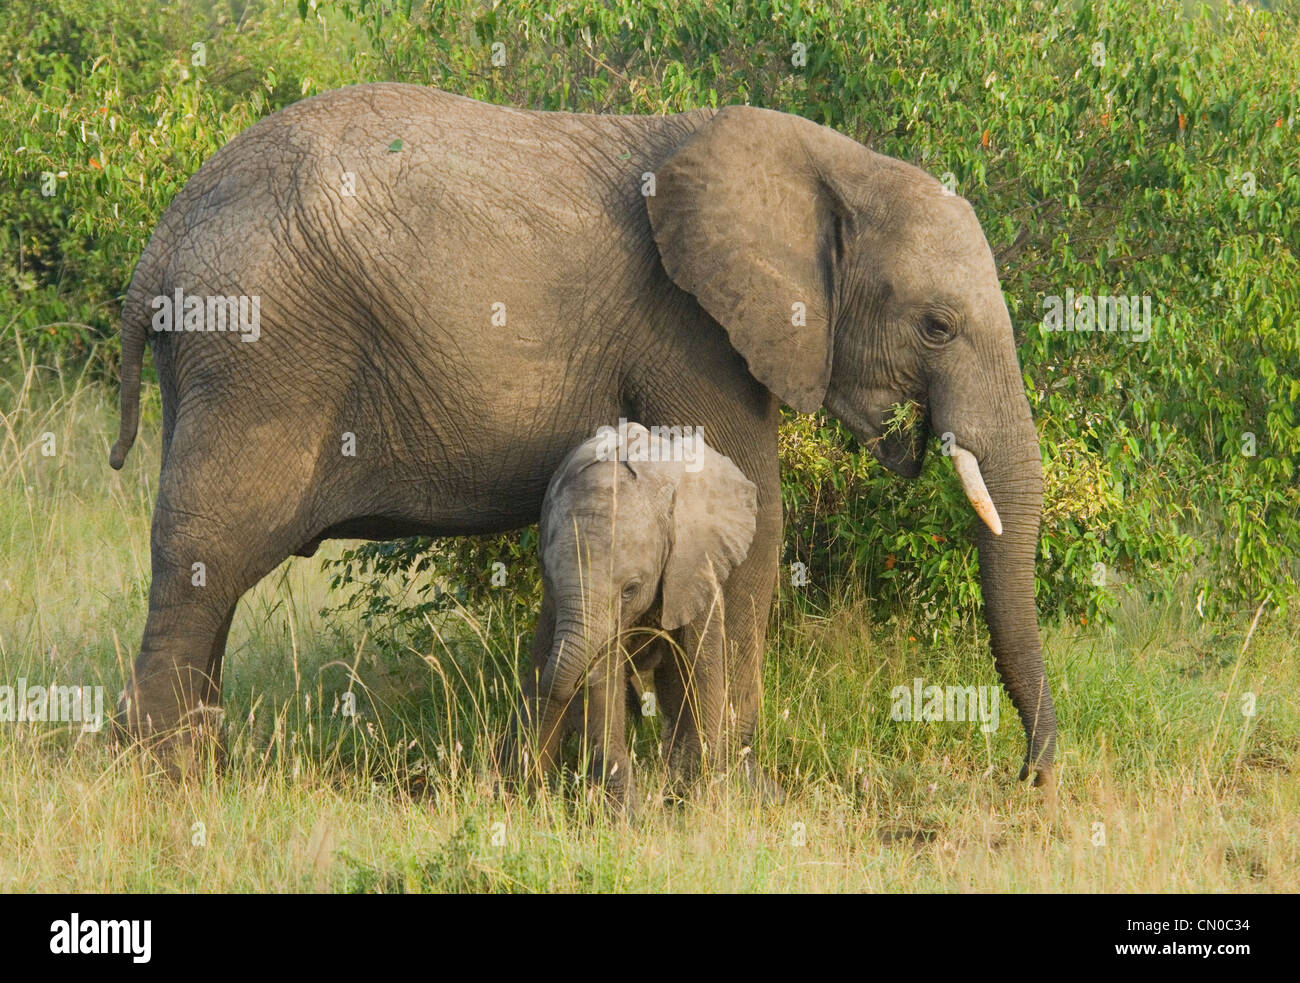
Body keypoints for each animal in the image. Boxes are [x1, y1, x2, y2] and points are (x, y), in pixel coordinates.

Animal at [520, 418, 759, 811]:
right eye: (549, 578)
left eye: (630, 589)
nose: (588, 669)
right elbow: (604, 695)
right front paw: (627, 817)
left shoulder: (696, 561)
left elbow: (703, 668)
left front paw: (701, 804)